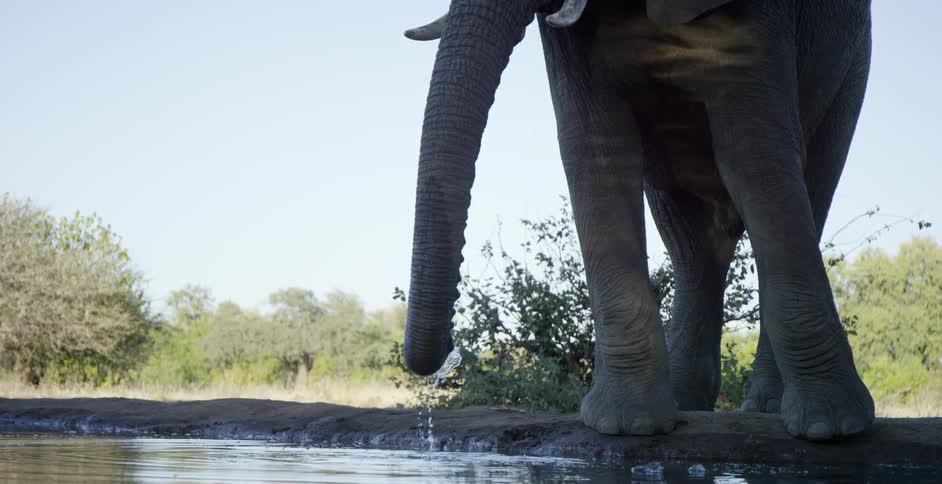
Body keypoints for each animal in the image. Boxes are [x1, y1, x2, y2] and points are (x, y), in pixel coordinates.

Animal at [401, 0, 875, 441]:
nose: (449, 354)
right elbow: (597, 149)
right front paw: (629, 426)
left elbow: (755, 151)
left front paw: (832, 429)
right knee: (691, 241)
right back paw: (687, 404)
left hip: (853, 70)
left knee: (811, 185)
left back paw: (765, 410)